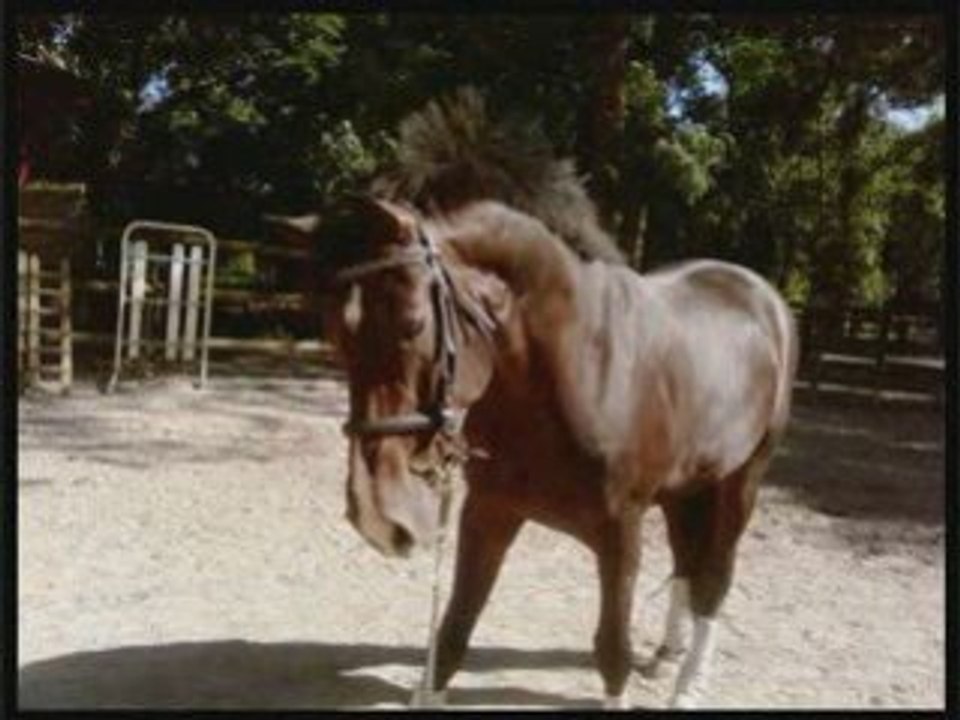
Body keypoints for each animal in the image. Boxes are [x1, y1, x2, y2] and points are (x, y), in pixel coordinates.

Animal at [297, 194, 798, 709]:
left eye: (412, 324)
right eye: (335, 335)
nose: (374, 513)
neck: (576, 369)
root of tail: (761, 295)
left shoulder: (622, 529)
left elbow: (612, 649)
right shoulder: (489, 512)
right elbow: (455, 629)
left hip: (741, 483)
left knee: (713, 580)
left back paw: (688, 688)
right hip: (686, 487)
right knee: (685, 561)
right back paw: (666, 655)